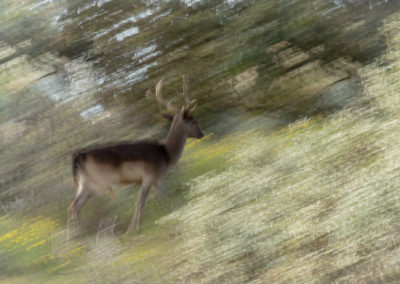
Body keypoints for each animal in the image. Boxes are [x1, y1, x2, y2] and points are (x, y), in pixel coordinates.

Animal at [68, 75, 203, 233]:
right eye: (193, 120)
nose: (201, 133)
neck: (166, 155)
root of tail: (79, 156)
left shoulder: (154, 179)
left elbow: (160, 197)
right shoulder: (150, 176)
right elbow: (143, 201)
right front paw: (132, 229)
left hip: (84, 184)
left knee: (74, 206)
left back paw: (76, 236)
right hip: (98, 183)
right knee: (77, 206)